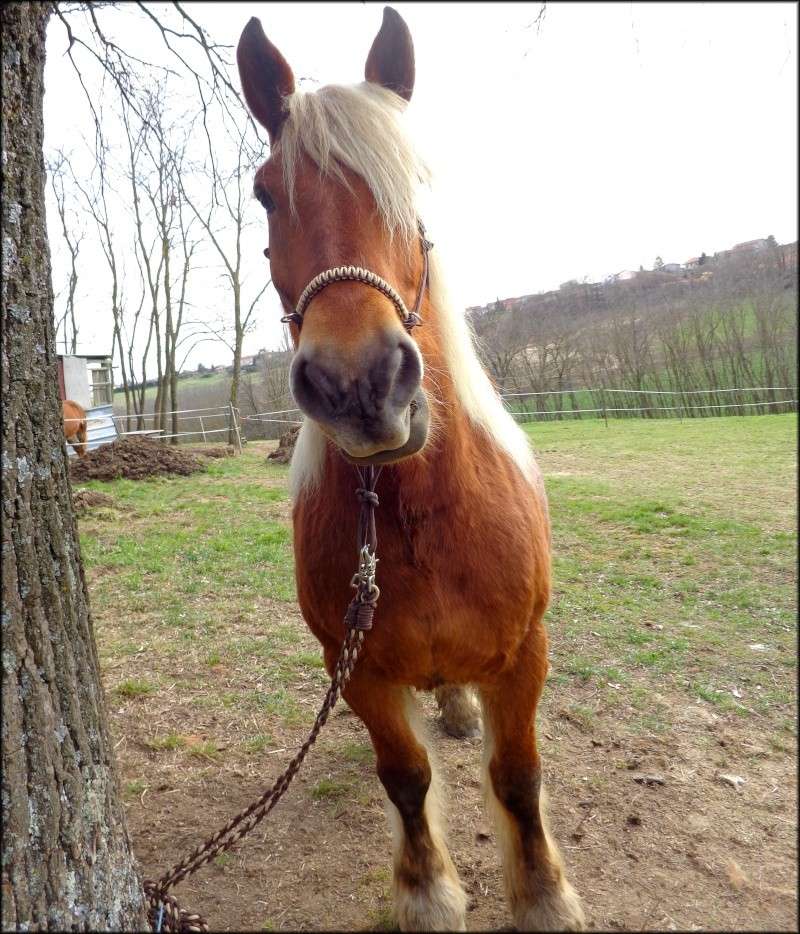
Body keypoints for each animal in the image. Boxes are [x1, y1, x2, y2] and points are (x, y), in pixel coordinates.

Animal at [234, 9, 584, 934]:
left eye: (414, 183)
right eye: (266, 192)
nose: (358, 383)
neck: (419, 515)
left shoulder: (525, 658)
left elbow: (518, 777)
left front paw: (543, 896)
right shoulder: (355, 669)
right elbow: (405, 778)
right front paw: (427, 892)